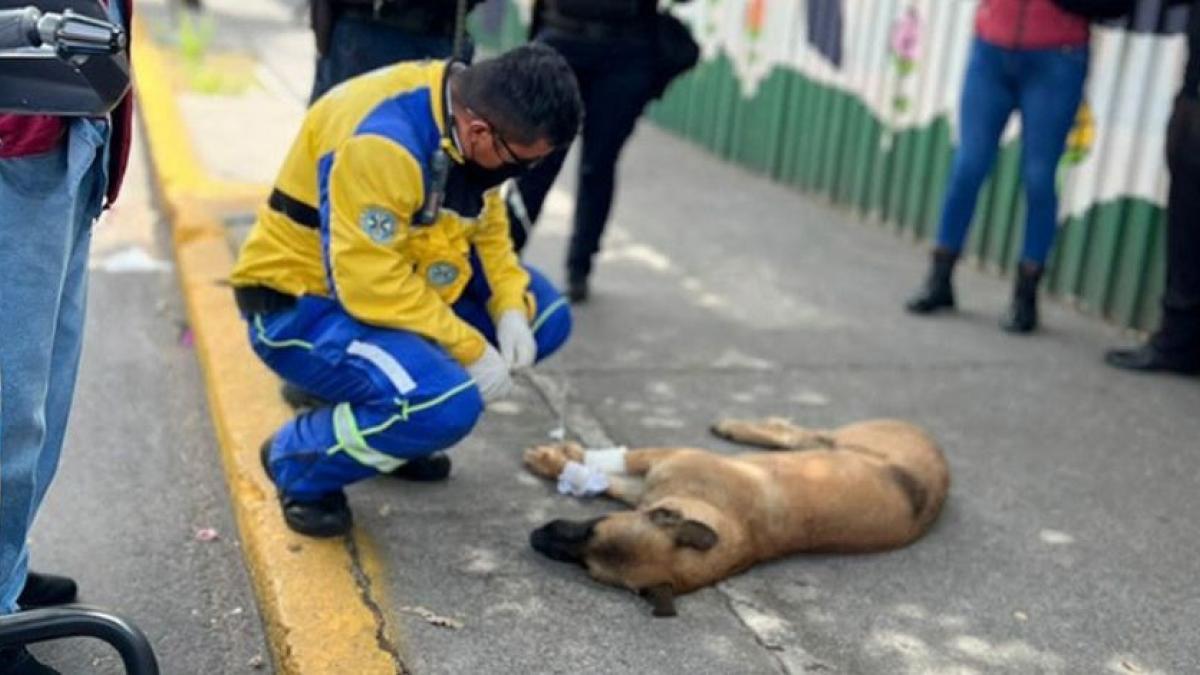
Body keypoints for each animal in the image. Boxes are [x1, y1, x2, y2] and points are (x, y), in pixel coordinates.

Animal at [523, 415, 945, 614]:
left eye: (588, 567)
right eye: (593, 526)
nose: (535, 538)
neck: (733, 522)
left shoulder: (656, 471)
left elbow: (610, 465)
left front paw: (560, 460)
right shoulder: (652, 474)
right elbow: (609, 469)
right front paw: (559, 461)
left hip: (834, 442)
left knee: (794, 434)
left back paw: (735, 426)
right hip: (836, 442)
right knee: (794, 433)